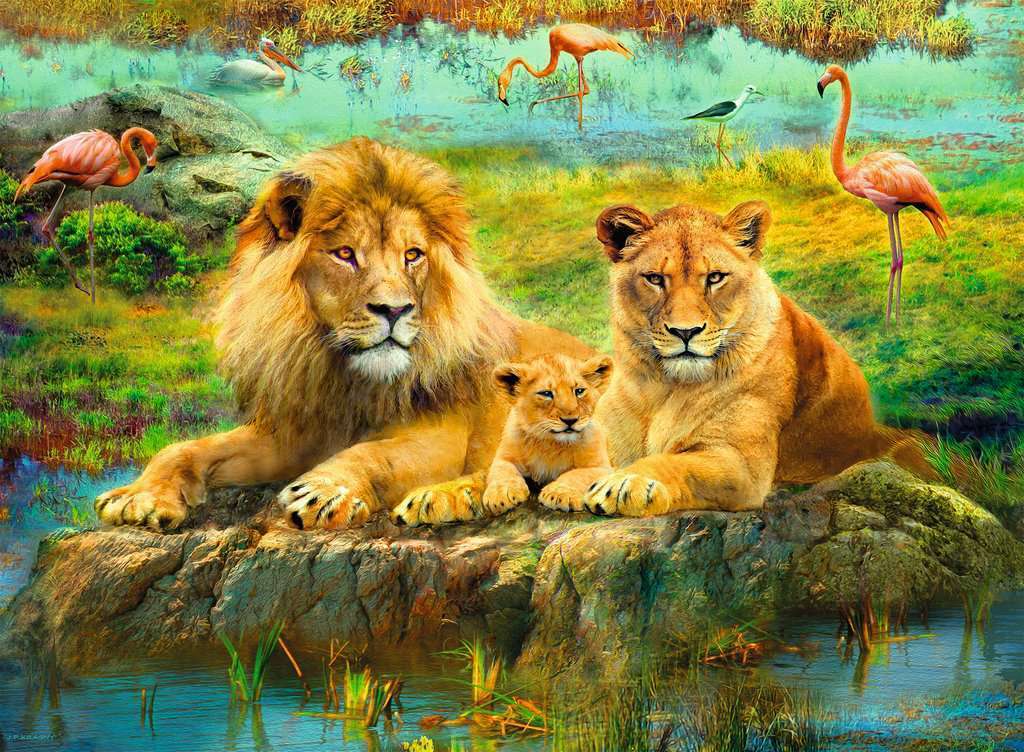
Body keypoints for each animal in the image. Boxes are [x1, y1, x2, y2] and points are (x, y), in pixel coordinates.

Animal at [94, 138, 592, 531]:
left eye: (413, 255)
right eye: (346, 254)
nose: (395, 309)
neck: (344, 378)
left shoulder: (442, 436)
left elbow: (373, 454)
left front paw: (324, 491)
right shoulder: (294, 433)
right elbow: (184, 448)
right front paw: (138, 496)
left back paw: (443, 497)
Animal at [581, 199, 932, 517]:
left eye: (715, 277)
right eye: (654, 279)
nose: (686, 331)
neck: (664, 388)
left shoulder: (741, 465)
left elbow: (674, 463)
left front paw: (627, 482)